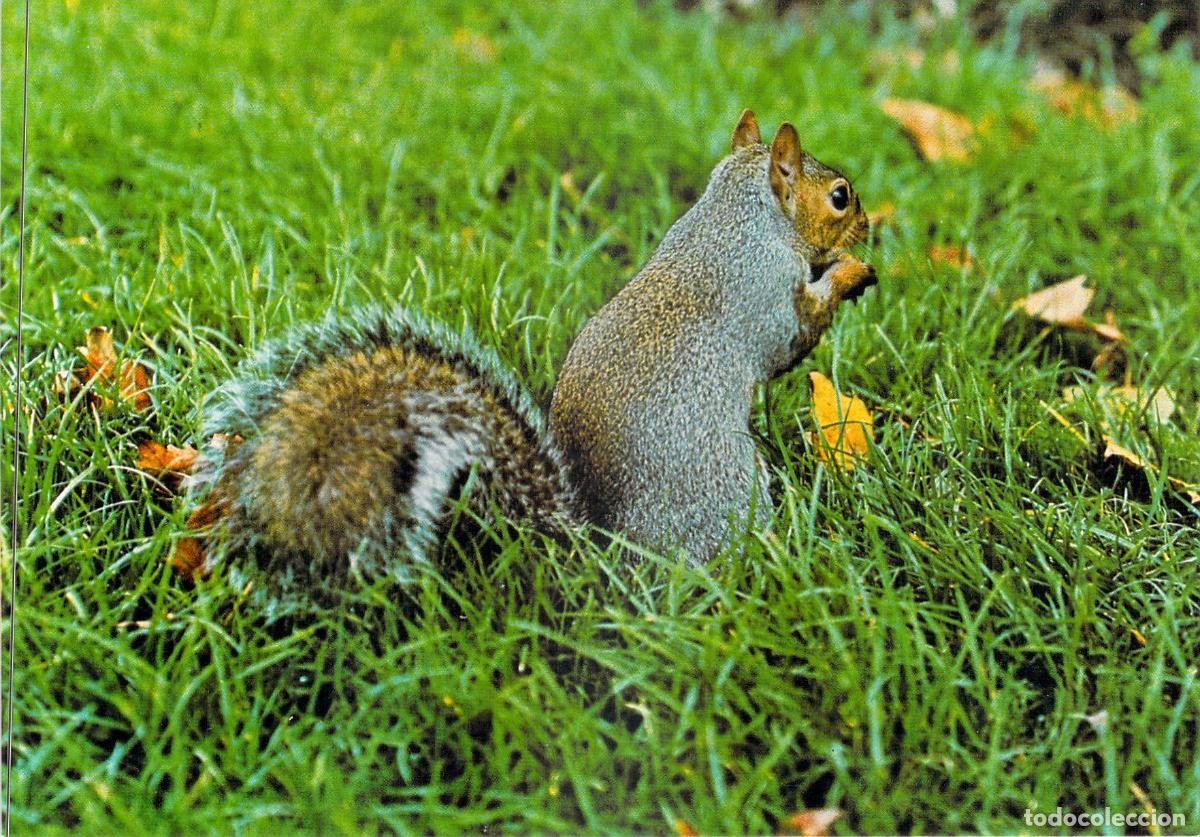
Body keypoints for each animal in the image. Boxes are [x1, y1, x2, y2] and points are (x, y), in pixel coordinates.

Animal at [185, 109, 876, 585]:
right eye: (840, 196)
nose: (871, 224)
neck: (737, 217)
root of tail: (601, 542)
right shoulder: (766, 295)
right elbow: (793, 339)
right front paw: (849, 271)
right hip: (731, 485)